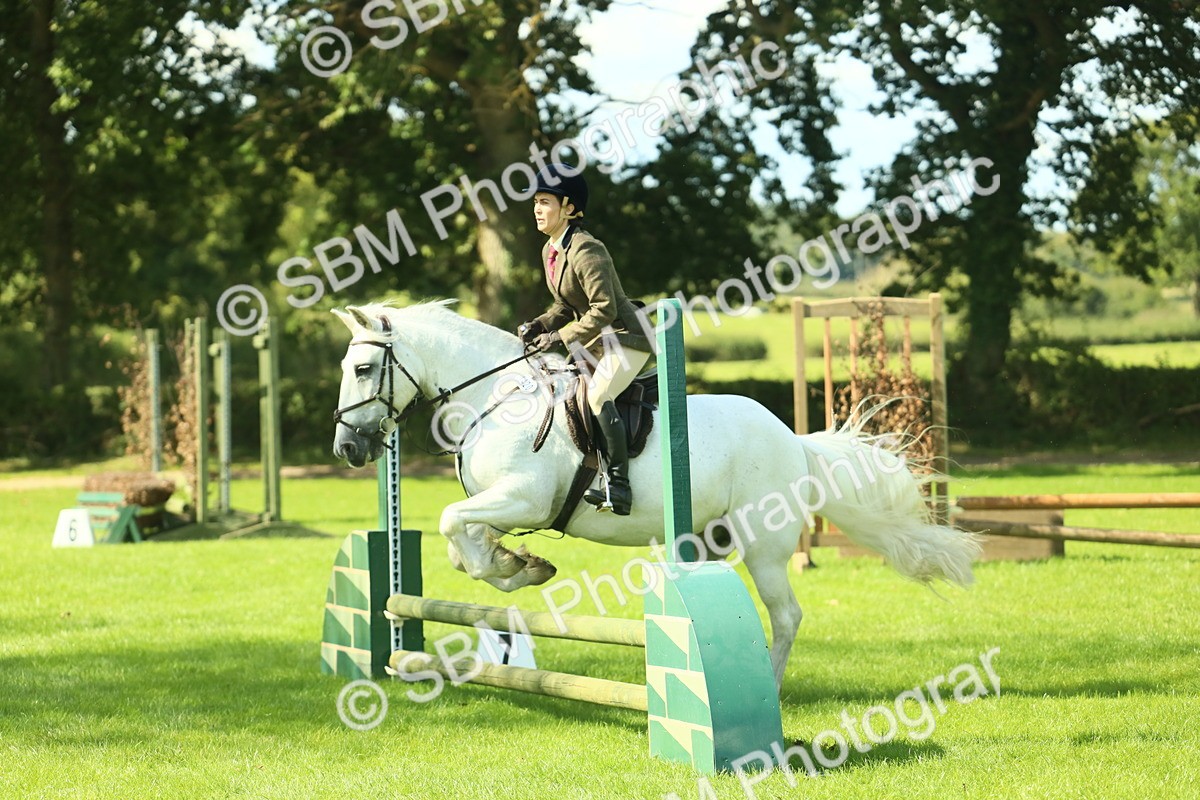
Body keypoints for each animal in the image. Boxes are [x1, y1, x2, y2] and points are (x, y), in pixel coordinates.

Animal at [331, 300, 980, 689]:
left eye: (362, 371)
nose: (348, 448)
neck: (497, 397)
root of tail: (793, 440)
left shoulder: (524, 498)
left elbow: (451, 523)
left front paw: (519, 567)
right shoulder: (497, 504)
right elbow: (461, 542)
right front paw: (518, 564)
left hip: (765, 547)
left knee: (786, 614)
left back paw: (769, 687)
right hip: (708, 538)